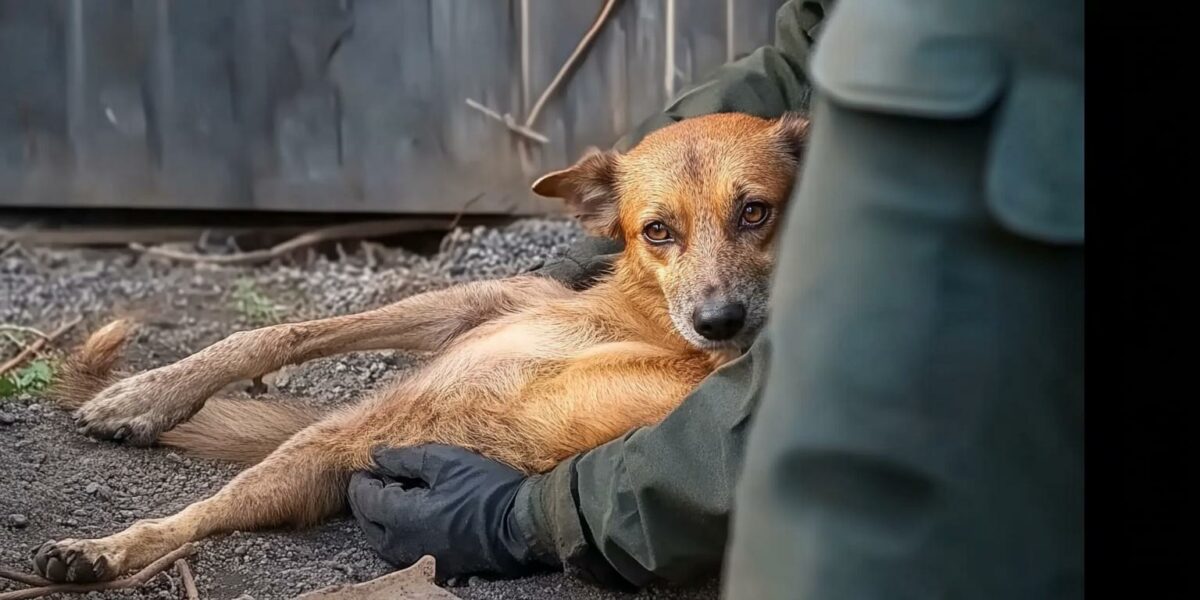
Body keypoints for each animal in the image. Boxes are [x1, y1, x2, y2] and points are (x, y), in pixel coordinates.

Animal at [32, 111, 811, 580]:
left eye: (755, 212)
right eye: (657, 230)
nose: (719, 321)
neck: (645, 321)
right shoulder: (477, 305)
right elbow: (276, 334)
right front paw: (148, 393)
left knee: (198, 519)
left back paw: (106, 550)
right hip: (312, 451)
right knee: (194, 513)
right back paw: (108, 542)